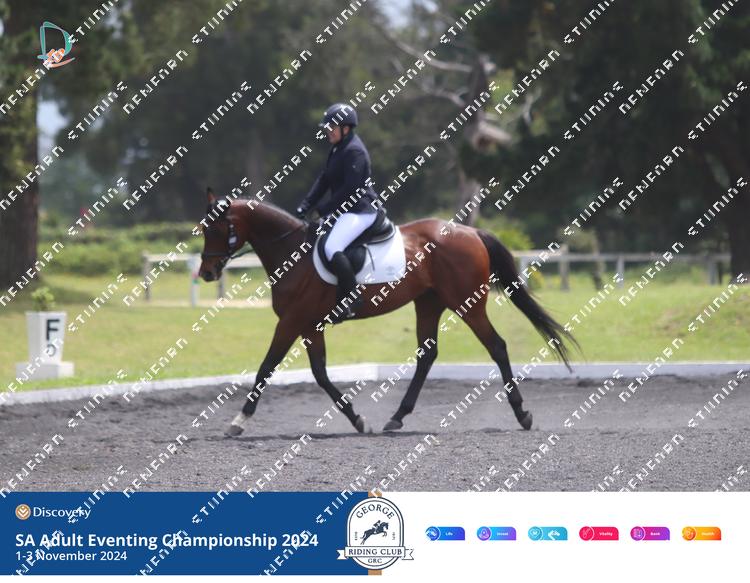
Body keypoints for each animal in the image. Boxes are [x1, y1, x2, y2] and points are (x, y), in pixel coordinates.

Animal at [197, 190, 578, 437]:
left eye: (216, 229)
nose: (207, 273)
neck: (292, 252)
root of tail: (470, 230)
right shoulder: (309, 326)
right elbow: (319, 373)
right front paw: (358, 420)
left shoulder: (291, 322)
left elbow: (266, 367)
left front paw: (238, 421)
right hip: (429, 303)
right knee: (427, 355)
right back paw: (396, 417)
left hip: (467, 303)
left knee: (496, 346)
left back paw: (522, 414)